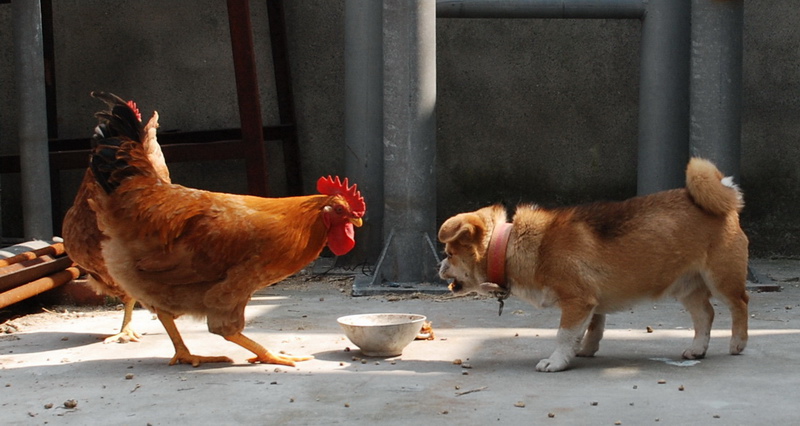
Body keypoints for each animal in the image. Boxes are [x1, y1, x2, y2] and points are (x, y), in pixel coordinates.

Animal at [440, 158, 748, 372]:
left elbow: (564, 335)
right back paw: (697, 349)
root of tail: (727, 204)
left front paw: (556, 361)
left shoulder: (577, 301)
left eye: (450, 253)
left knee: (739, 305)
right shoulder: (592, 303)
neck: (508, 245)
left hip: (722, 281)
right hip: (686, 288)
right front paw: (584, 349)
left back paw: (738, 342)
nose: (440, 264)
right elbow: (593, 328)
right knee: (705, 315)